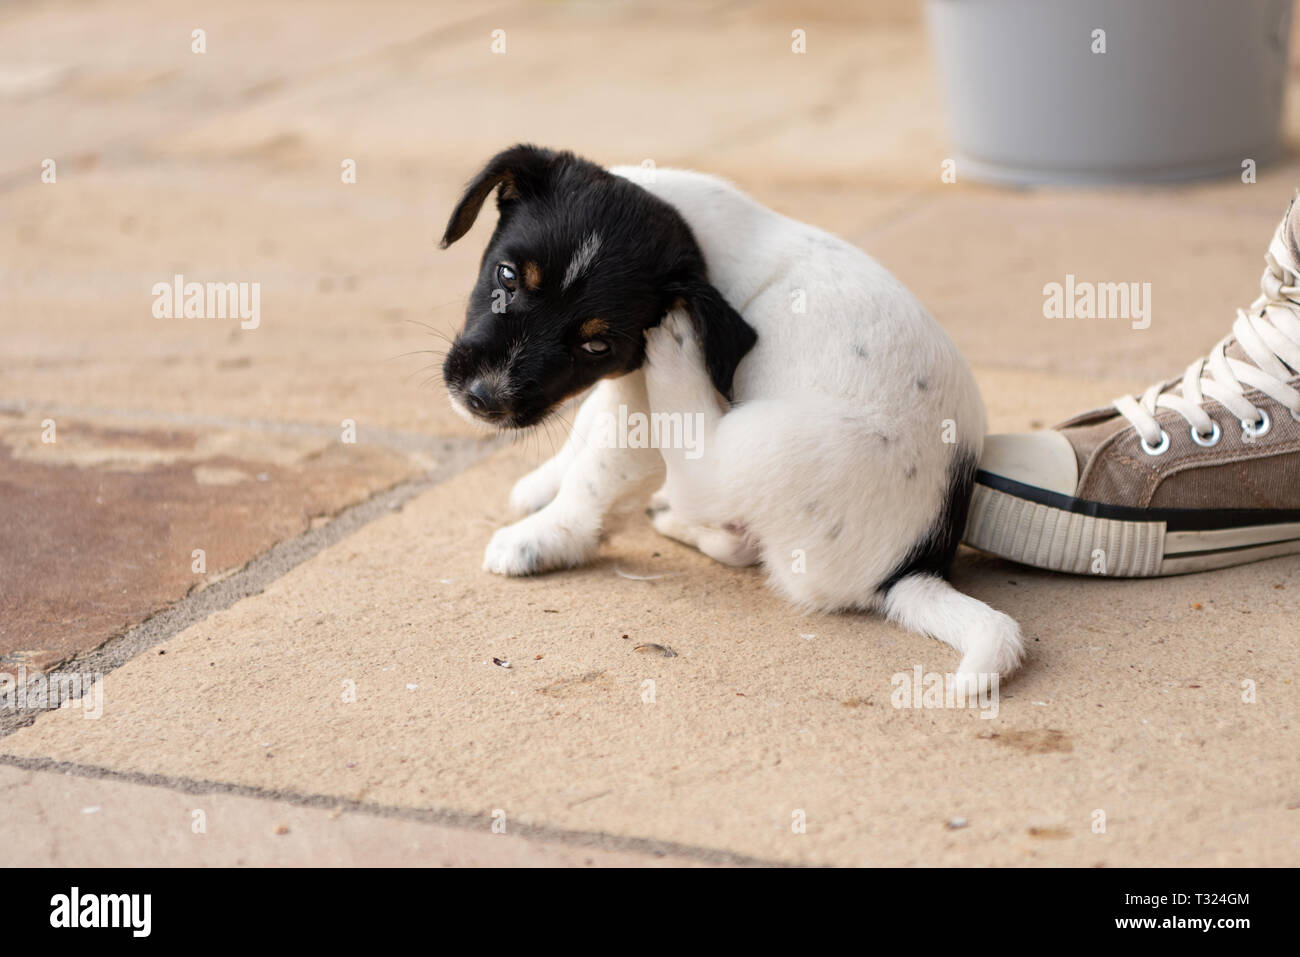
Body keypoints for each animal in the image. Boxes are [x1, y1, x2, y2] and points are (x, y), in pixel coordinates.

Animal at [441, 143, 1019, 686]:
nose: (485, 399)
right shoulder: (622, 389)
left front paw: (542, 537)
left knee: (701, 473)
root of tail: (912, 567)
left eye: (597, 345)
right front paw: (542, 483)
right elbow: (587, 429)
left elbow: (594, 475)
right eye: (507, 275)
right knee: (737, 541)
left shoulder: (637, 410)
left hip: (763, 443)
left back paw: (677, 356)